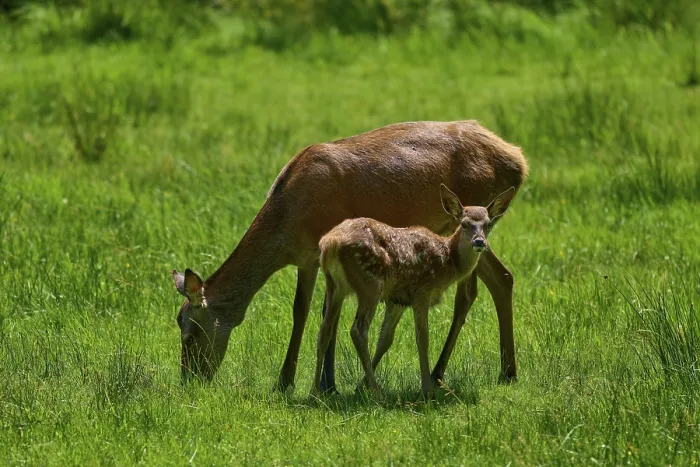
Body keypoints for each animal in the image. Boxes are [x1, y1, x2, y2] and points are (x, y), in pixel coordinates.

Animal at [312, 185, 515, 397]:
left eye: (488, 224)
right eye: (464, 224)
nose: (479, 242)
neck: (448, 260)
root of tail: (330, 243)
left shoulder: (398, 299)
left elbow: (385, 339)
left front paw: (360, 386)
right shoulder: (422, 291)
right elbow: (423, 337)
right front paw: (426, 389)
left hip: (335, 286)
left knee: (324, 330)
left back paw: (314, 391)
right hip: (370, 284)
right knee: (358, 331)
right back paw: (376, 391)